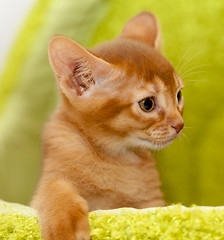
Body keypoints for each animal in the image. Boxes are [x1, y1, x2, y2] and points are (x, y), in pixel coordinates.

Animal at [31, 10, 184, 240]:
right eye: (147, 104)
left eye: (178, 95)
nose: (179, 124)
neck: (114, 157)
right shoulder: (46, 182)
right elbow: (54, 187)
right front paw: (65, 225)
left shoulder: (150, 203)